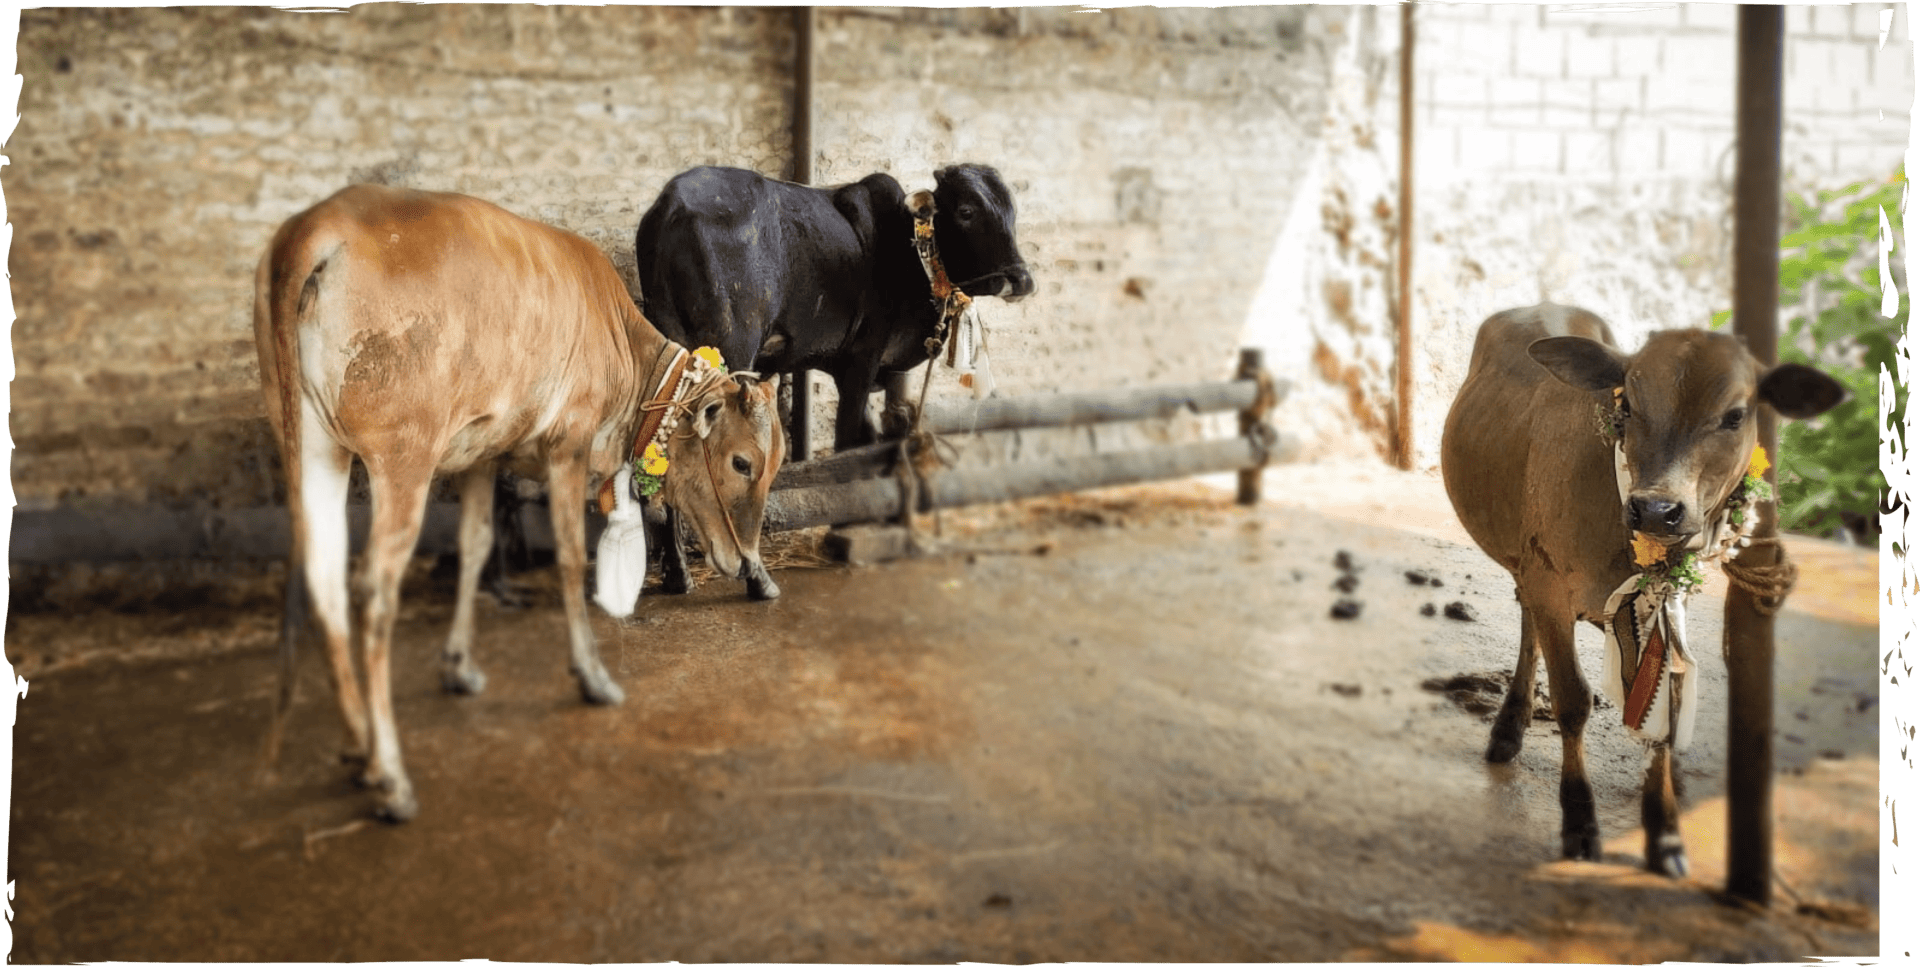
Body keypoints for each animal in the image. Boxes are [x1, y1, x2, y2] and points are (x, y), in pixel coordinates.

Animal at [254, 184, 785, 822]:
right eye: (741, 462)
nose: (747, 560)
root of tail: (318, 224)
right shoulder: (567, 447)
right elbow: (569, 558)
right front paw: (593, 676)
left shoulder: (481, 456)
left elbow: (477, 546)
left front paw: (459, 665)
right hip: (401, 458)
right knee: (373, 593)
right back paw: (391, 777)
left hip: (315, 446)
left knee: (327, 581)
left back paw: (359, 745)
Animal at [632, 163, 1032, 593]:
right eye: (967, 210)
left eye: (1011, 209)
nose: (1021, 280)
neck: (906, 251)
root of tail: (671, 203)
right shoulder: (862, 359)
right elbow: (846, 444)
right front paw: (847, 523)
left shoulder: (867, 368)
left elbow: (877, 439)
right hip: (731, 349)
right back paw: (756, 578)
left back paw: (678, 574)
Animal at [1440, 303, 1844, 876]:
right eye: (1627, 404)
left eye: (1736, 415)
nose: (1656, 509)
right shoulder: (1548, 581)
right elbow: (1573, 700)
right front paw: (1580, 821)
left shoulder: (1672, 600)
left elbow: (1668, 704)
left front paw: (1666, 829)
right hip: (1526, 564)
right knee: (1527, 624)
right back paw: (1507, 729)